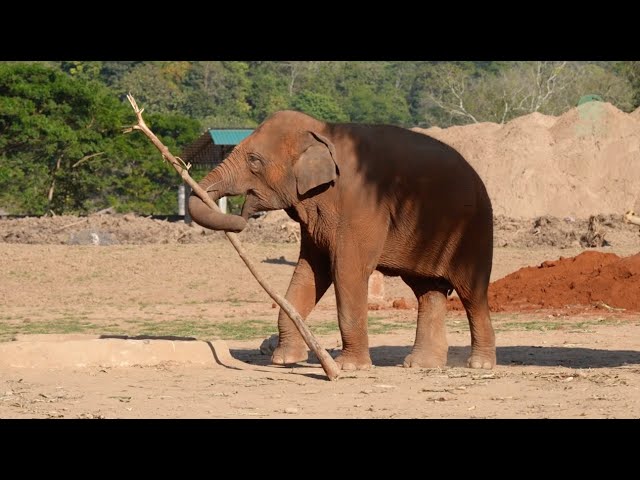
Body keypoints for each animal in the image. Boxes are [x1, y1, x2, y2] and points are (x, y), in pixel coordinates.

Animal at [188, 111, 498, 372]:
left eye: (254, 160)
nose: (241, 218)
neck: (323, 130)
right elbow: (310, 272)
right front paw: (284, 360)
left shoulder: (361, 205)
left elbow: (347, 270)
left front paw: (350, 368)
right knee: (428, 291)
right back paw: (420, 365)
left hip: (475, 231)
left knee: (471, 294)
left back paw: (479, 365)